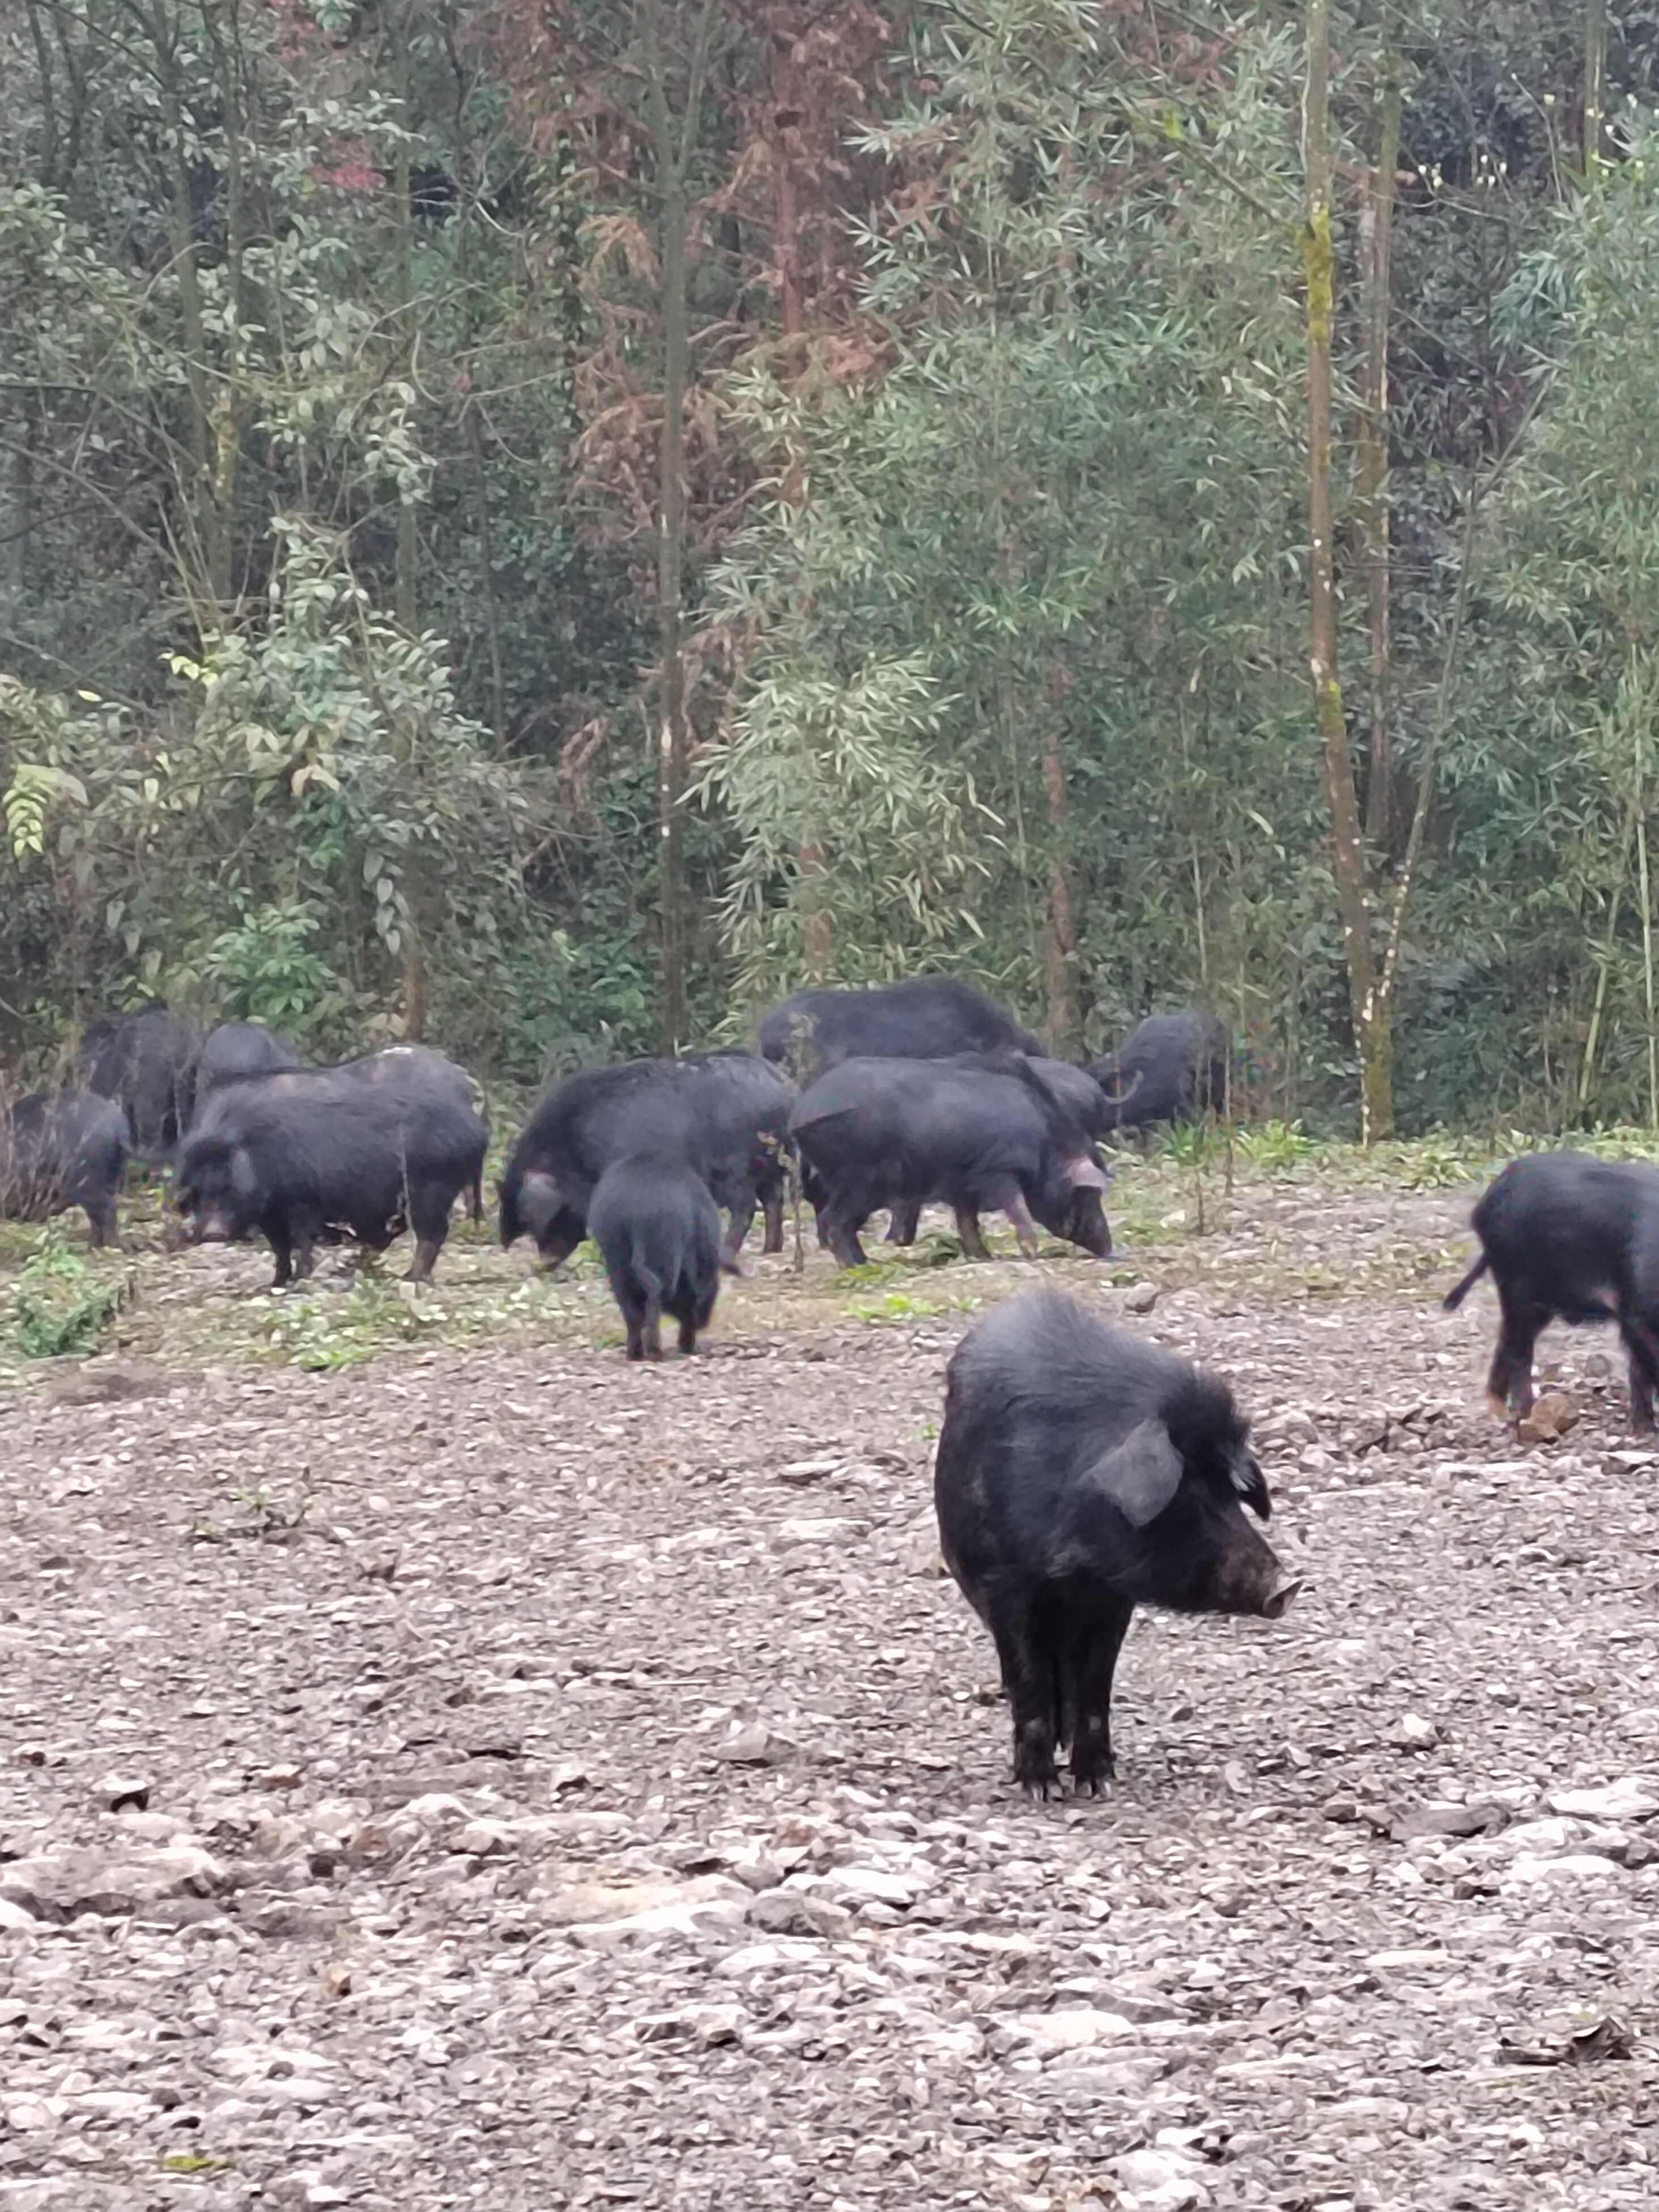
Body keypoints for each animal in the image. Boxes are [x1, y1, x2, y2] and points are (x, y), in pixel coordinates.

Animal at [1, 1088, 129, 1247]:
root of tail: (118, 1128)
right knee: (98, 1214)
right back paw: (92, 1245)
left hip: (86, 1184)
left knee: (108, 1209)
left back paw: (106, 1246)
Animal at [938, 1291, 1300, 1796]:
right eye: (1188, 1493)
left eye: (1231, 1493)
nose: (1287, 1585)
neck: (1070, 1565)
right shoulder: (1003, 1583)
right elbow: (1028, 1678)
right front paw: (1043, 1790)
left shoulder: (1111, 1598)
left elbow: (1095, 1684)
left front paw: (1097, 1784)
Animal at [1451, 1141, 1659, 1433]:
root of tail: (1484, 1204)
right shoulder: (1636, 1312)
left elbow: (1639, 1371)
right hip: (1515, 1284)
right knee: (1518, 1351)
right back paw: (1523, 1416)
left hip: (1536, 1302)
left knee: (1507, 1344)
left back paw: (1503, 1412)